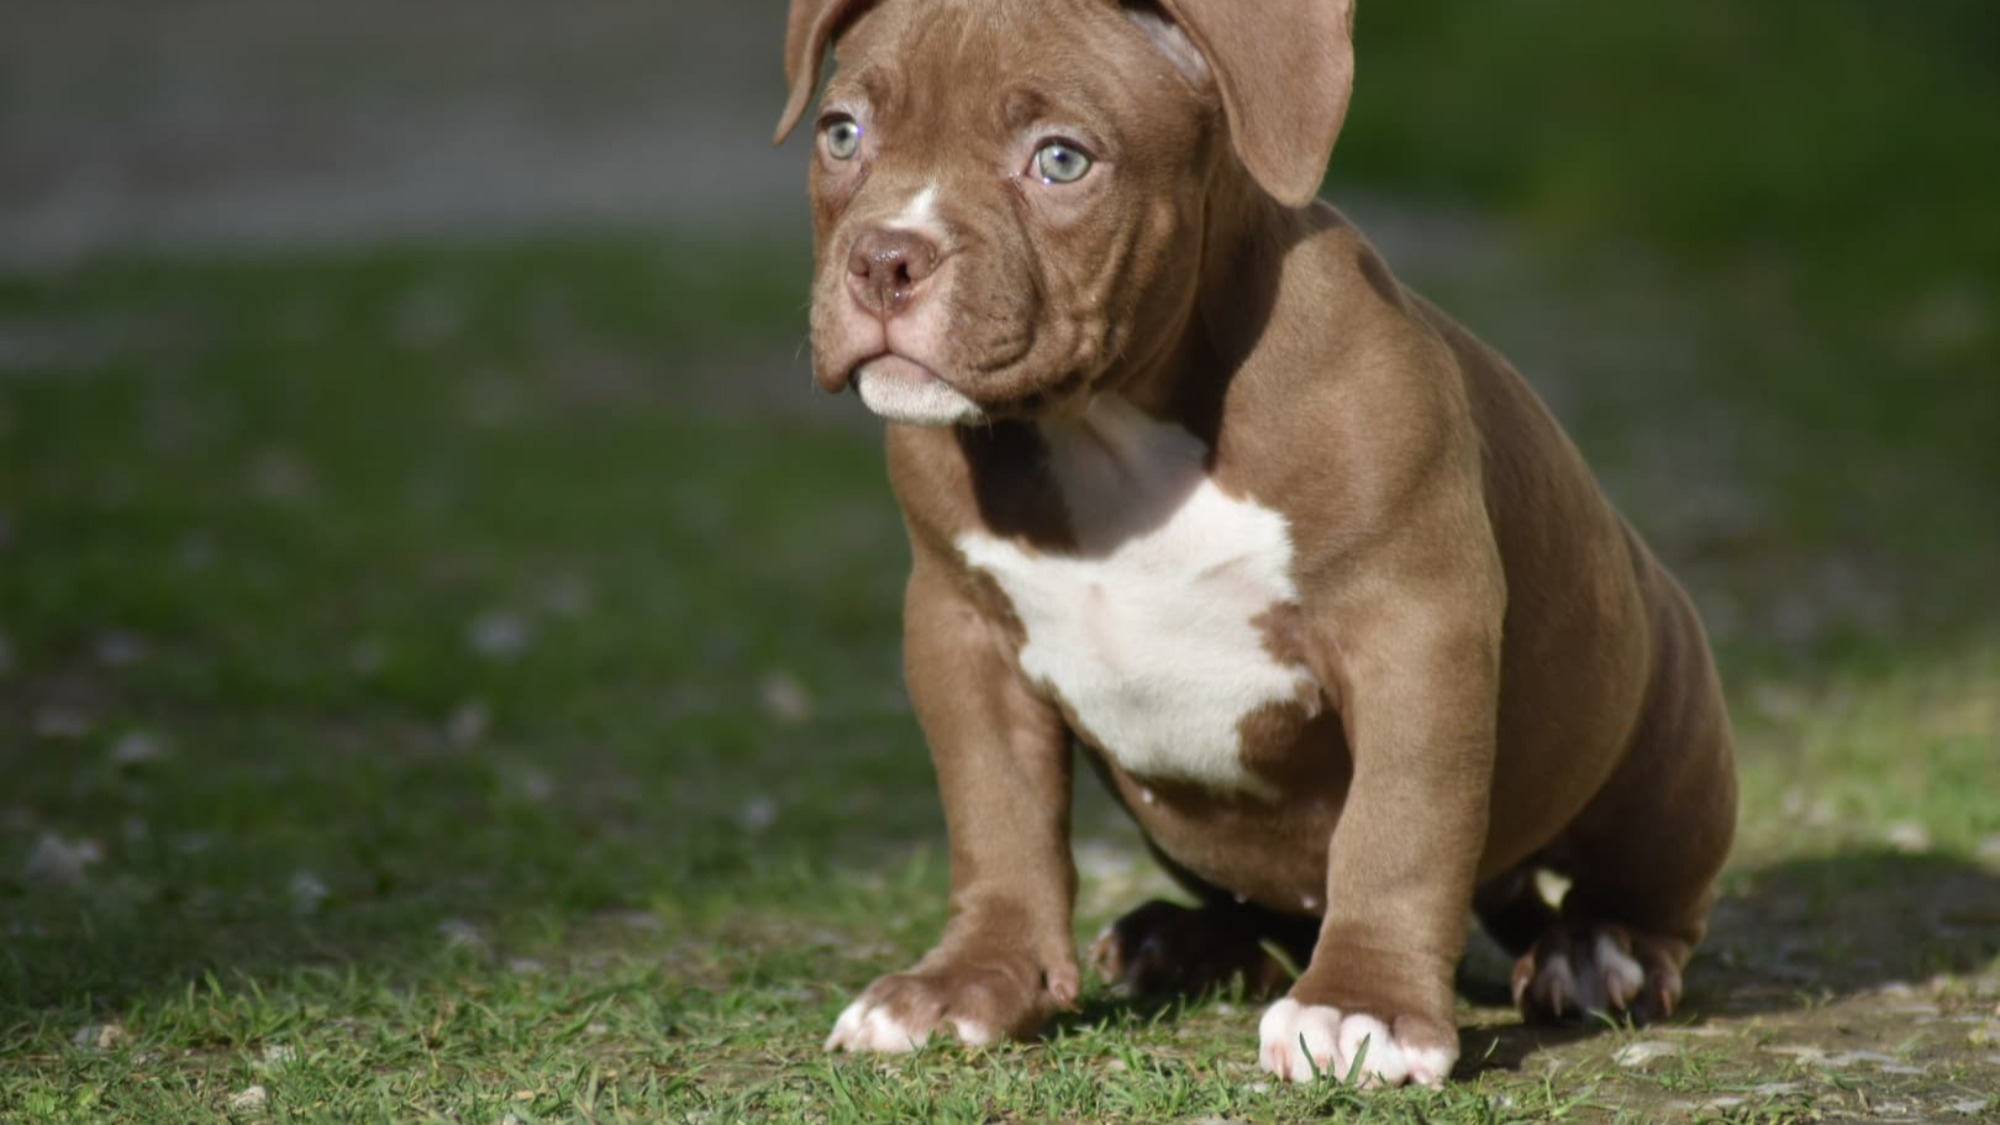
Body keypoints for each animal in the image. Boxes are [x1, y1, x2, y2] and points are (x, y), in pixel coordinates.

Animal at [780, 0, 1736, 1088]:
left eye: (1061, 160)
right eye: (842, 134)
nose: (884, 259)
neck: (1108, 427)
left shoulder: (1413, 627)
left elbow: (1398, 825)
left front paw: (1365, 1007)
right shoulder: (960, 634)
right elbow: (998, 815)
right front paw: (968, 983)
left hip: (1663, 742)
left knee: (1648, 883)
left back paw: (1598, 951)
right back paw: (1184, 942)